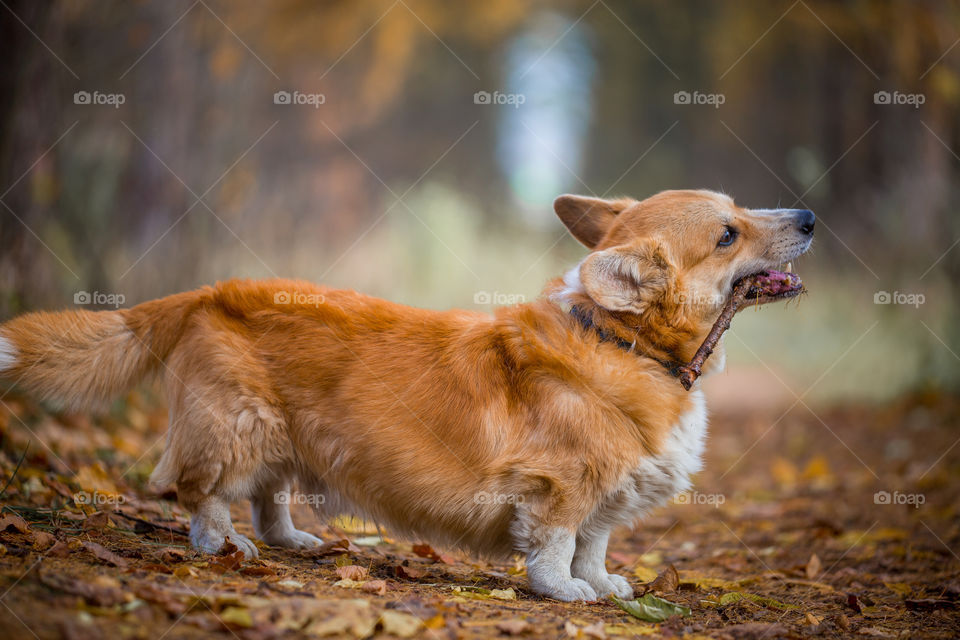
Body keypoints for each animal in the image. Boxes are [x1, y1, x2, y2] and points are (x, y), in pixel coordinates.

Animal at [0, 190, 812, 600]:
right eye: (728, 233)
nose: (809, 217)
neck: (626, 343)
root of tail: (207, 292)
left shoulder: (605, 498)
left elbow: (594, 543)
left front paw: (604, 584)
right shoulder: (560, 486)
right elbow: (556, 544)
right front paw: (563, 592)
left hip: (290, 436)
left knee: (268, 498)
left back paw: (291, 541)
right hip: (240, 426)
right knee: (204, 493)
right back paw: (221, 543)